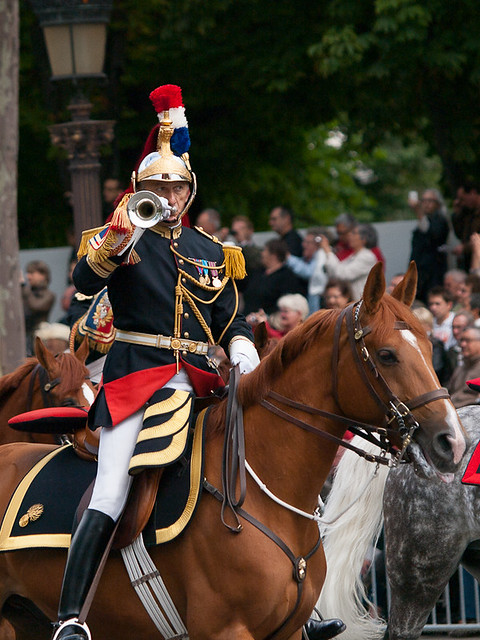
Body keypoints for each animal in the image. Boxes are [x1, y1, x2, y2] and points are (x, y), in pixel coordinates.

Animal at [0, 262, 466, 640]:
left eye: (430, 347)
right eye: (386, 355)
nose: (453, 441)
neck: (263, 493)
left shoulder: (287, 632)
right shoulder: (224, 629)